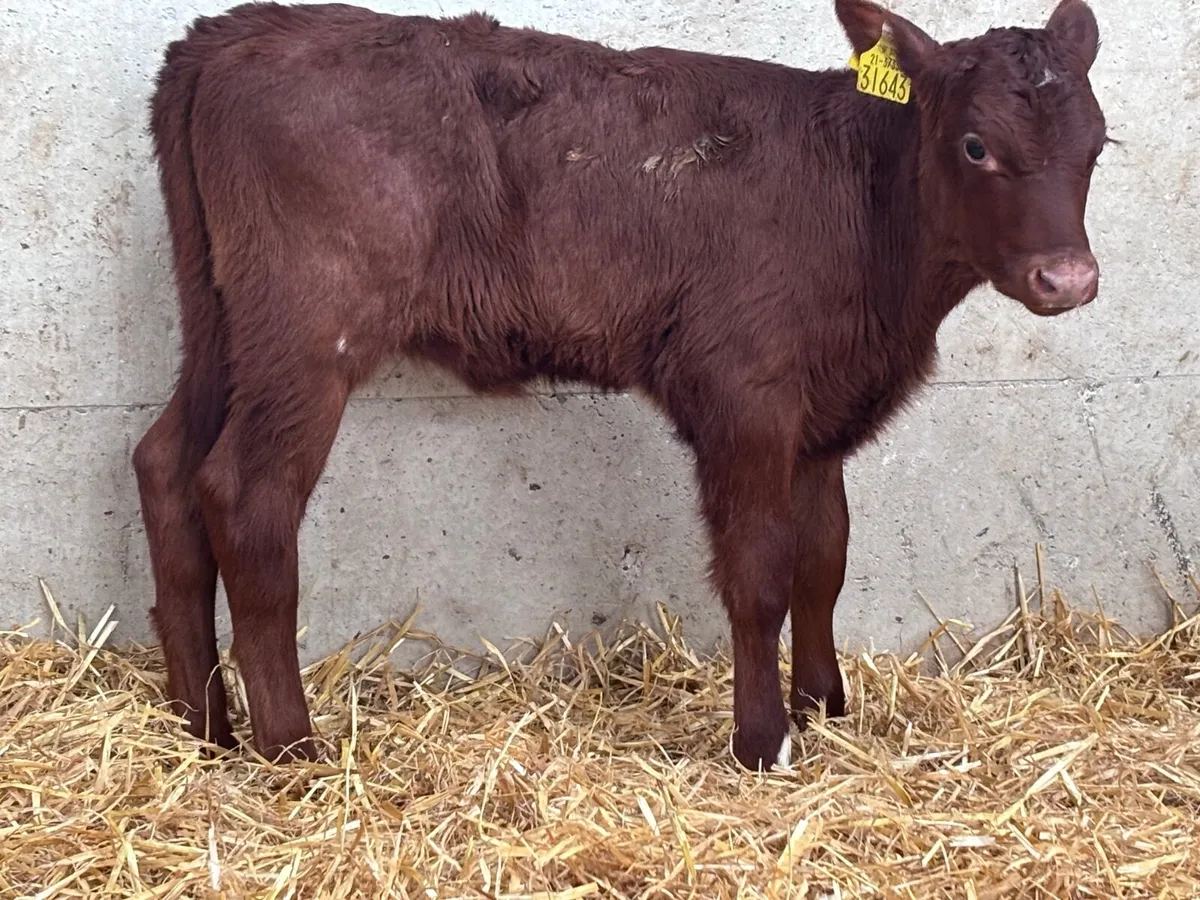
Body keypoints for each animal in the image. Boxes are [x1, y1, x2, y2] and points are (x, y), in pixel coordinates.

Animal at [133, 0, 1108, 772]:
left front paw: (824, 707)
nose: (1067, 279)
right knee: (246, 493)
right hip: (309, 330)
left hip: (223, 323)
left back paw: (202, 727)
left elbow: (825, 560)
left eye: (1097, 146)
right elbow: (761, 570)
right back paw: (290, 748)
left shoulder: (819, 412)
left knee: (166, 463)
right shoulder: (744, 393)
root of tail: (235, 30)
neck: (866, 214)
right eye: (975, 145)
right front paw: (764, 741)